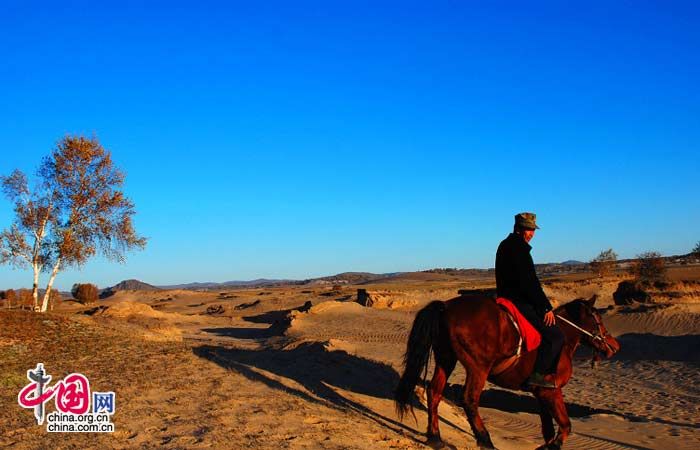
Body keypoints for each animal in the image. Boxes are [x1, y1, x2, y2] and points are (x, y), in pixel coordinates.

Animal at [396, 296, 620, 450]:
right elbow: (566, 426)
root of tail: (446, 307)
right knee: (469, 399)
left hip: (446, 359)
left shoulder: (541, 393)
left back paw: (434, 437)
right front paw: (551, 446)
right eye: (598, 319)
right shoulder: (551, 391)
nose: (614, 346)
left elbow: (548, 428)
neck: (563, 339)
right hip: (478, 367)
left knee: (434, 392)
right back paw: (485, 441)